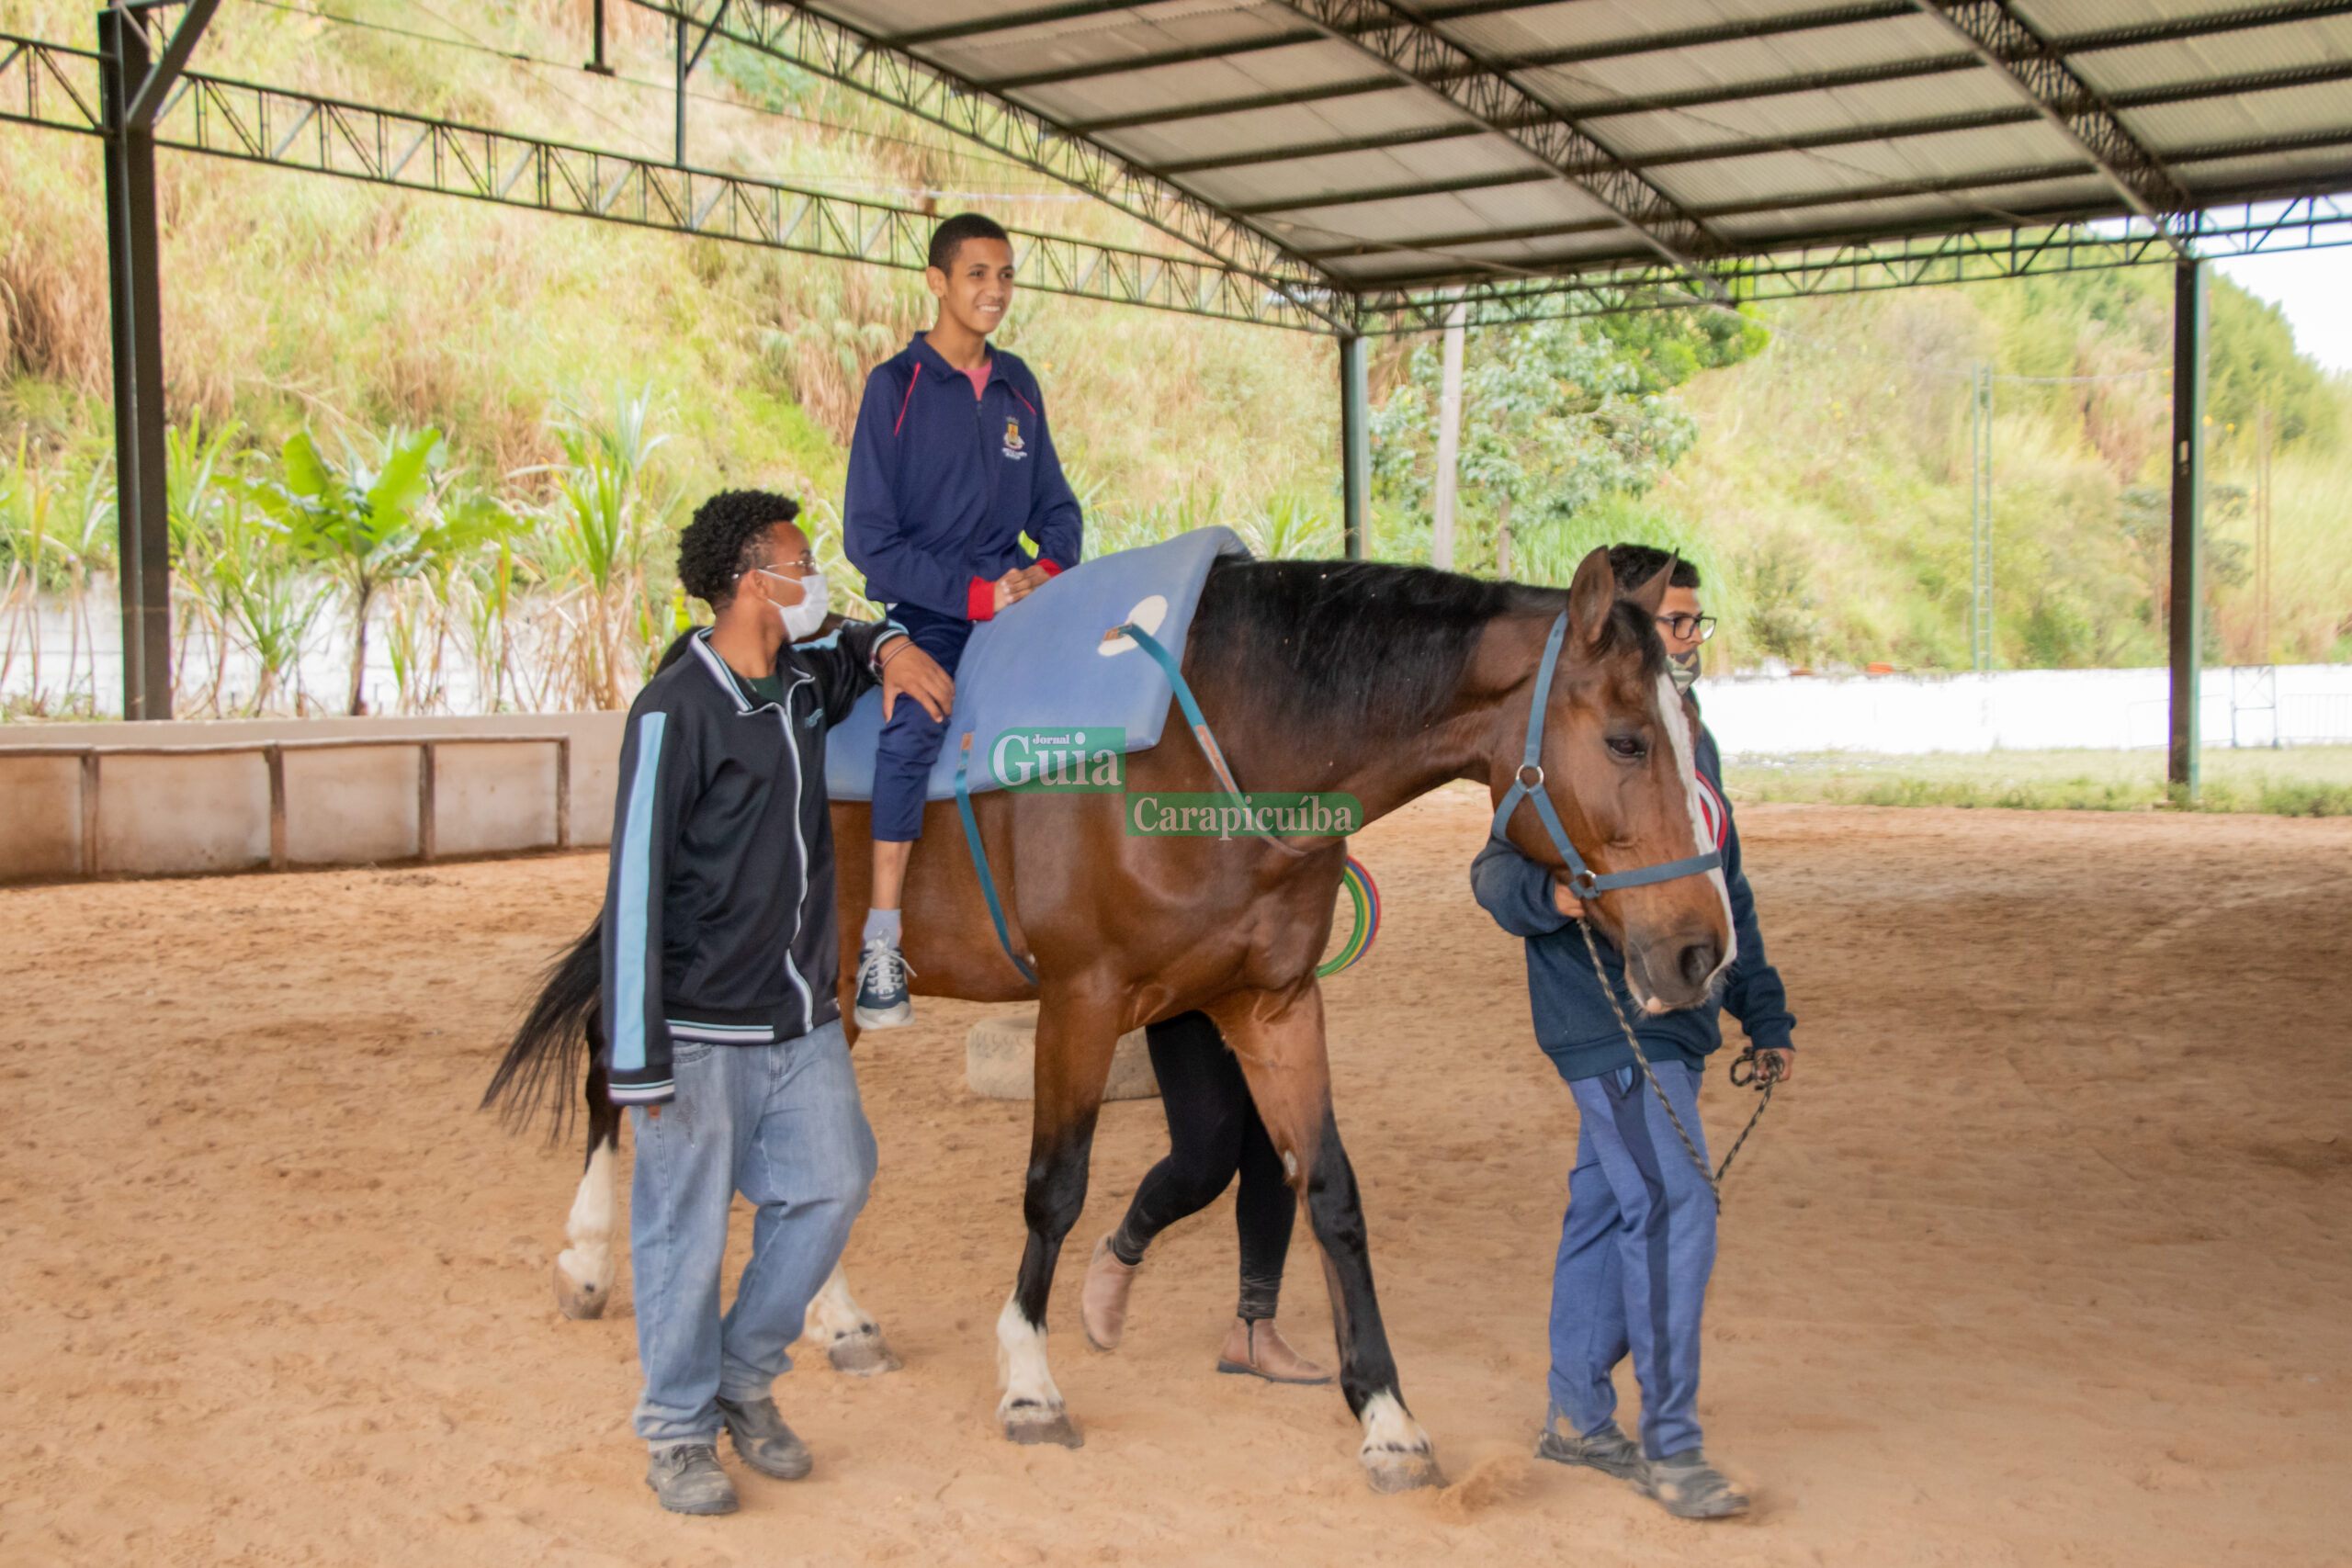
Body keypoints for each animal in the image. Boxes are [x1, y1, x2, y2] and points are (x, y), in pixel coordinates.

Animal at [486, 552, 1731, 1495]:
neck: (1224, 737)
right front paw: (1030, 1381)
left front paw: (1385, 1415)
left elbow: (1329, 1194)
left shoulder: (1275, 1006)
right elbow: (1057, 1187)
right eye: (1627, 740)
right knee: (611, 1064)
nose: (1698, 951)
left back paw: (835, 1319)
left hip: (814, 985)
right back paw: (588, 1260)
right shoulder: (1080, 1002)